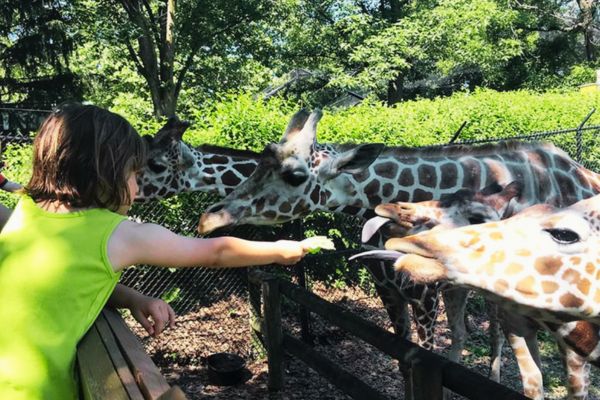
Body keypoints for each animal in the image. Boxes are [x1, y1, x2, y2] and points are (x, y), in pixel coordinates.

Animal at [360, 183, 592, 398]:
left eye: (477, 218)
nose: (388, 208)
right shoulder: (389, 293)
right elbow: (403, 357)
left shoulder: (425, 298)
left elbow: (421, 354)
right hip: (456, 290)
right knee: (461, 332)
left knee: (494, 336)